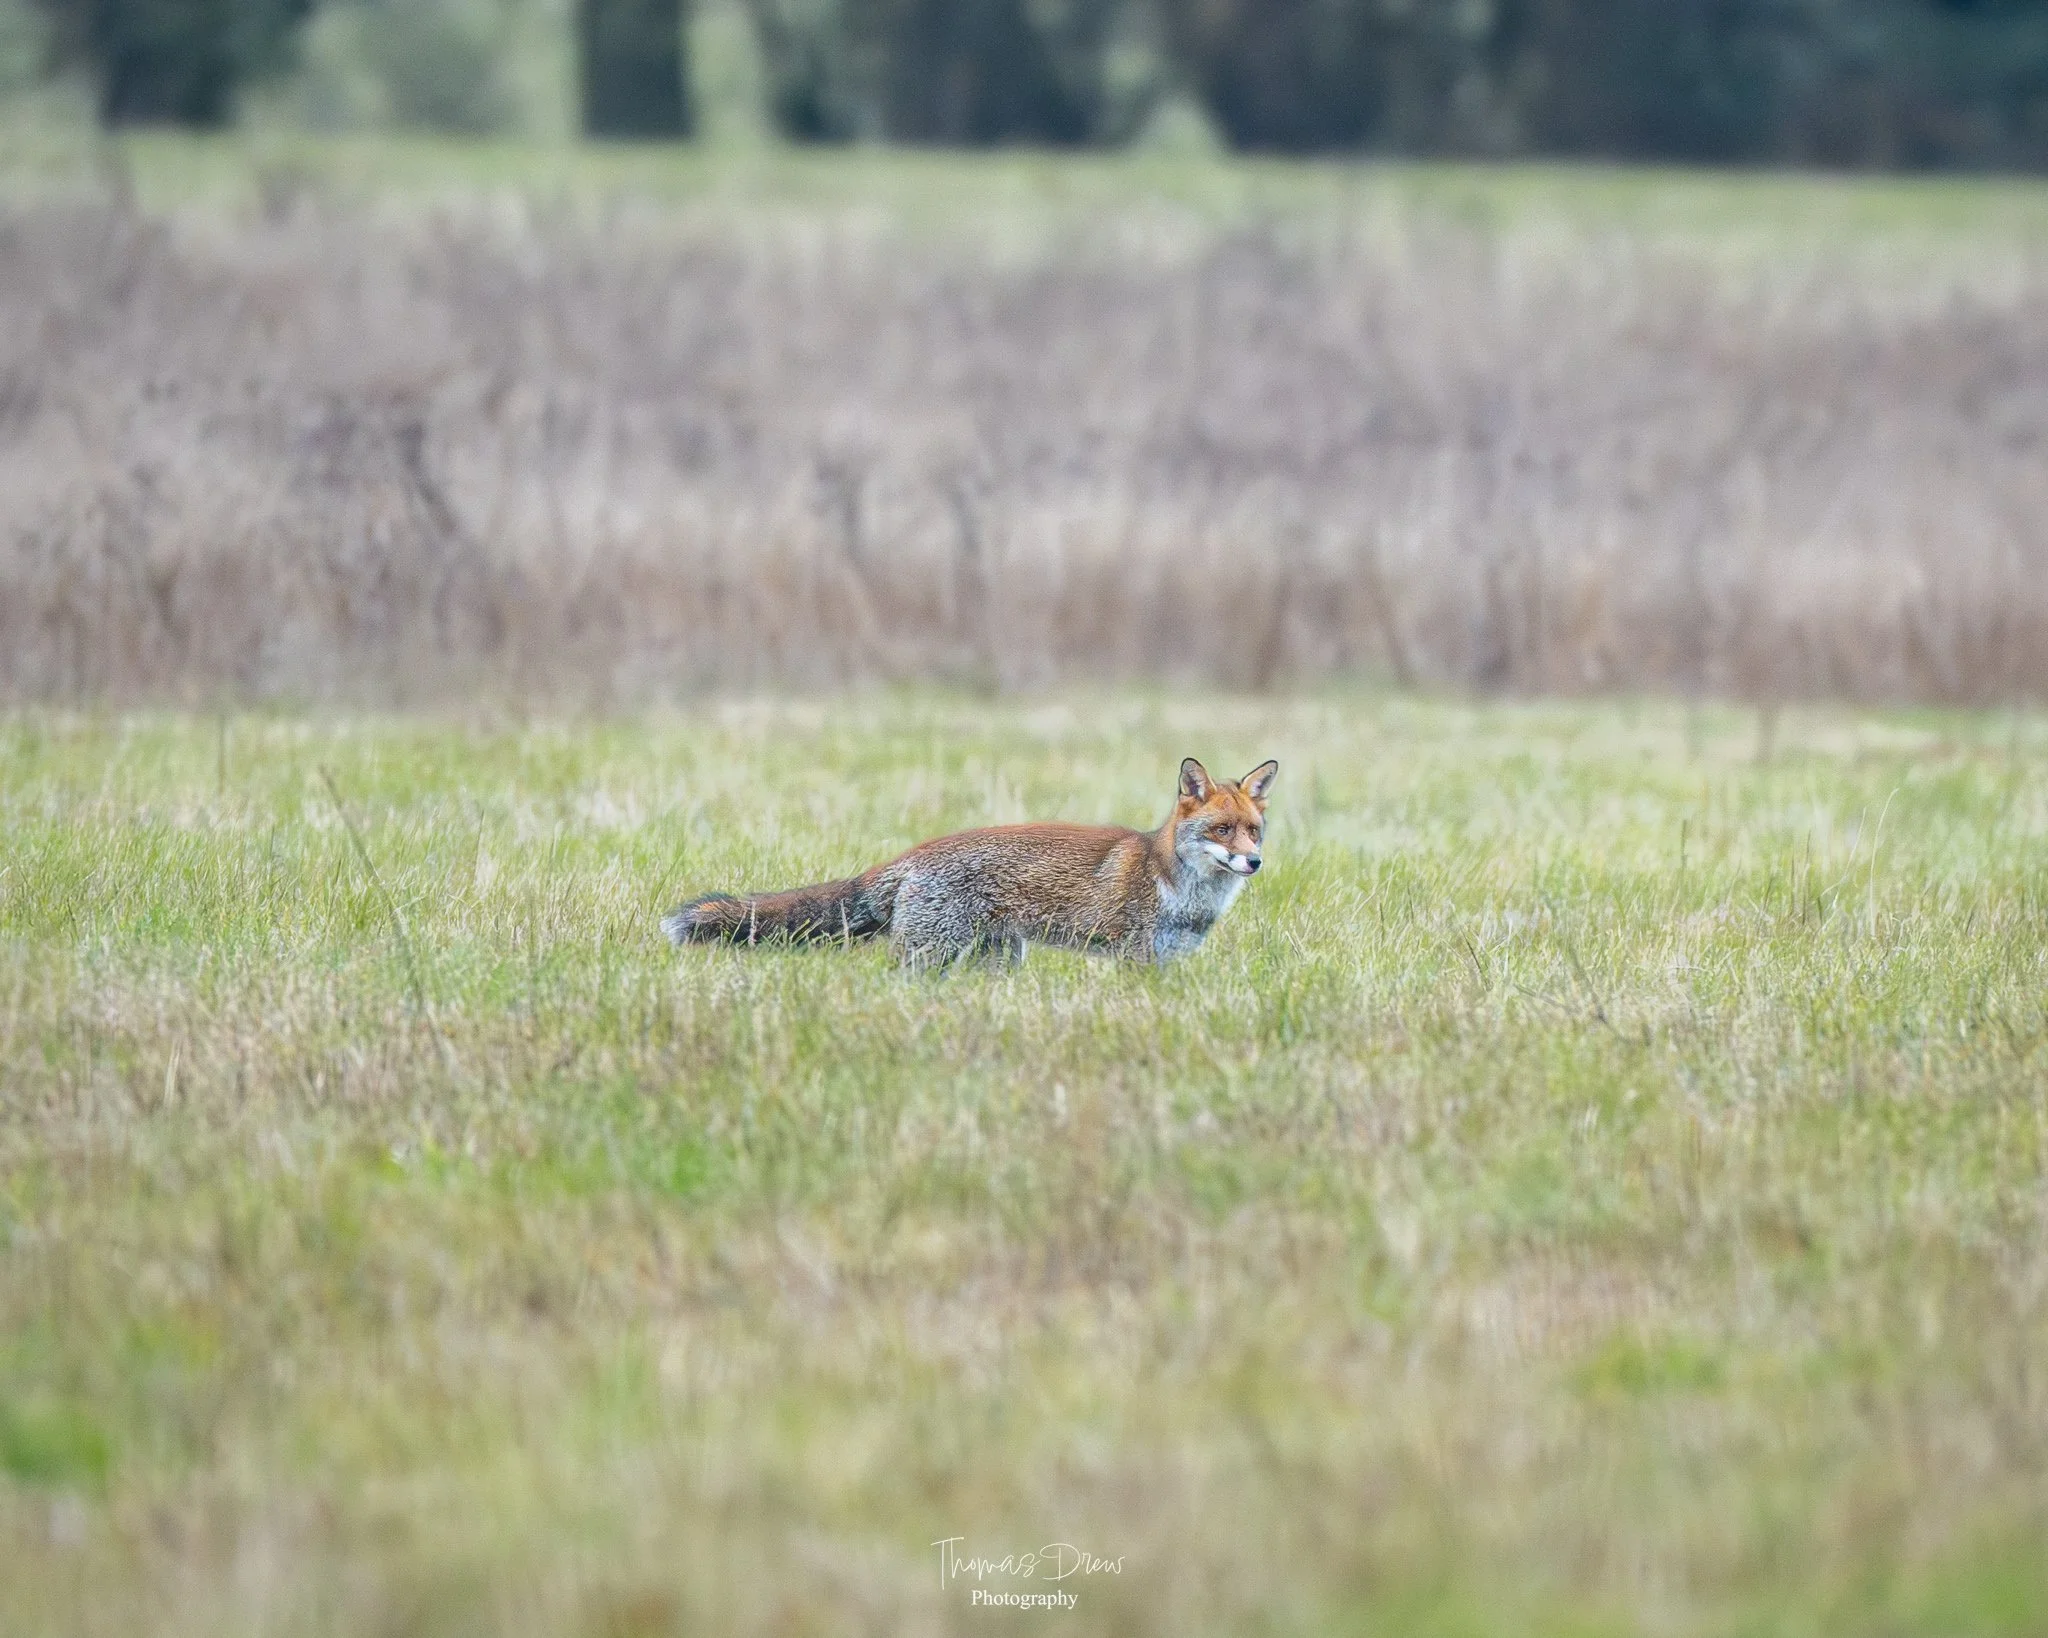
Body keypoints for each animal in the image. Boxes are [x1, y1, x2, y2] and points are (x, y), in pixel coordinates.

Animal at [662, 757, 1277, 969]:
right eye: (1221, 830)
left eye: (1254, 830)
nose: (1252, 862)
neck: (1182, 892)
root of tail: (910, 854)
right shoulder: (1135, 958)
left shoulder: (1169, 963)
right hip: (930, 955)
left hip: (997, 959)